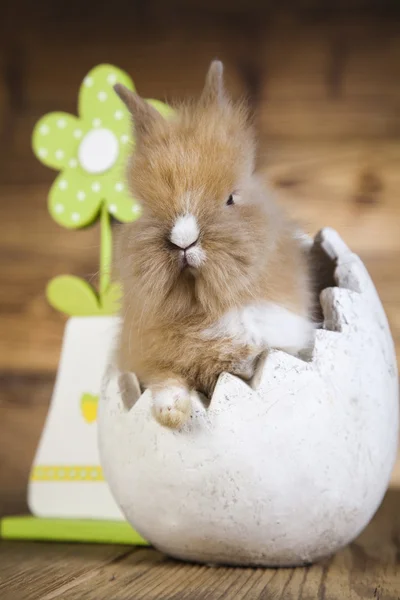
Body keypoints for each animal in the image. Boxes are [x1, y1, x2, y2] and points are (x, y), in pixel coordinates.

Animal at [114, 61, 314, 428]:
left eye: (231, 198)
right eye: (144, 207)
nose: (183, 241)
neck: (203, 306)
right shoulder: (146, 362)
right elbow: (167, 379)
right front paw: (171, 415)